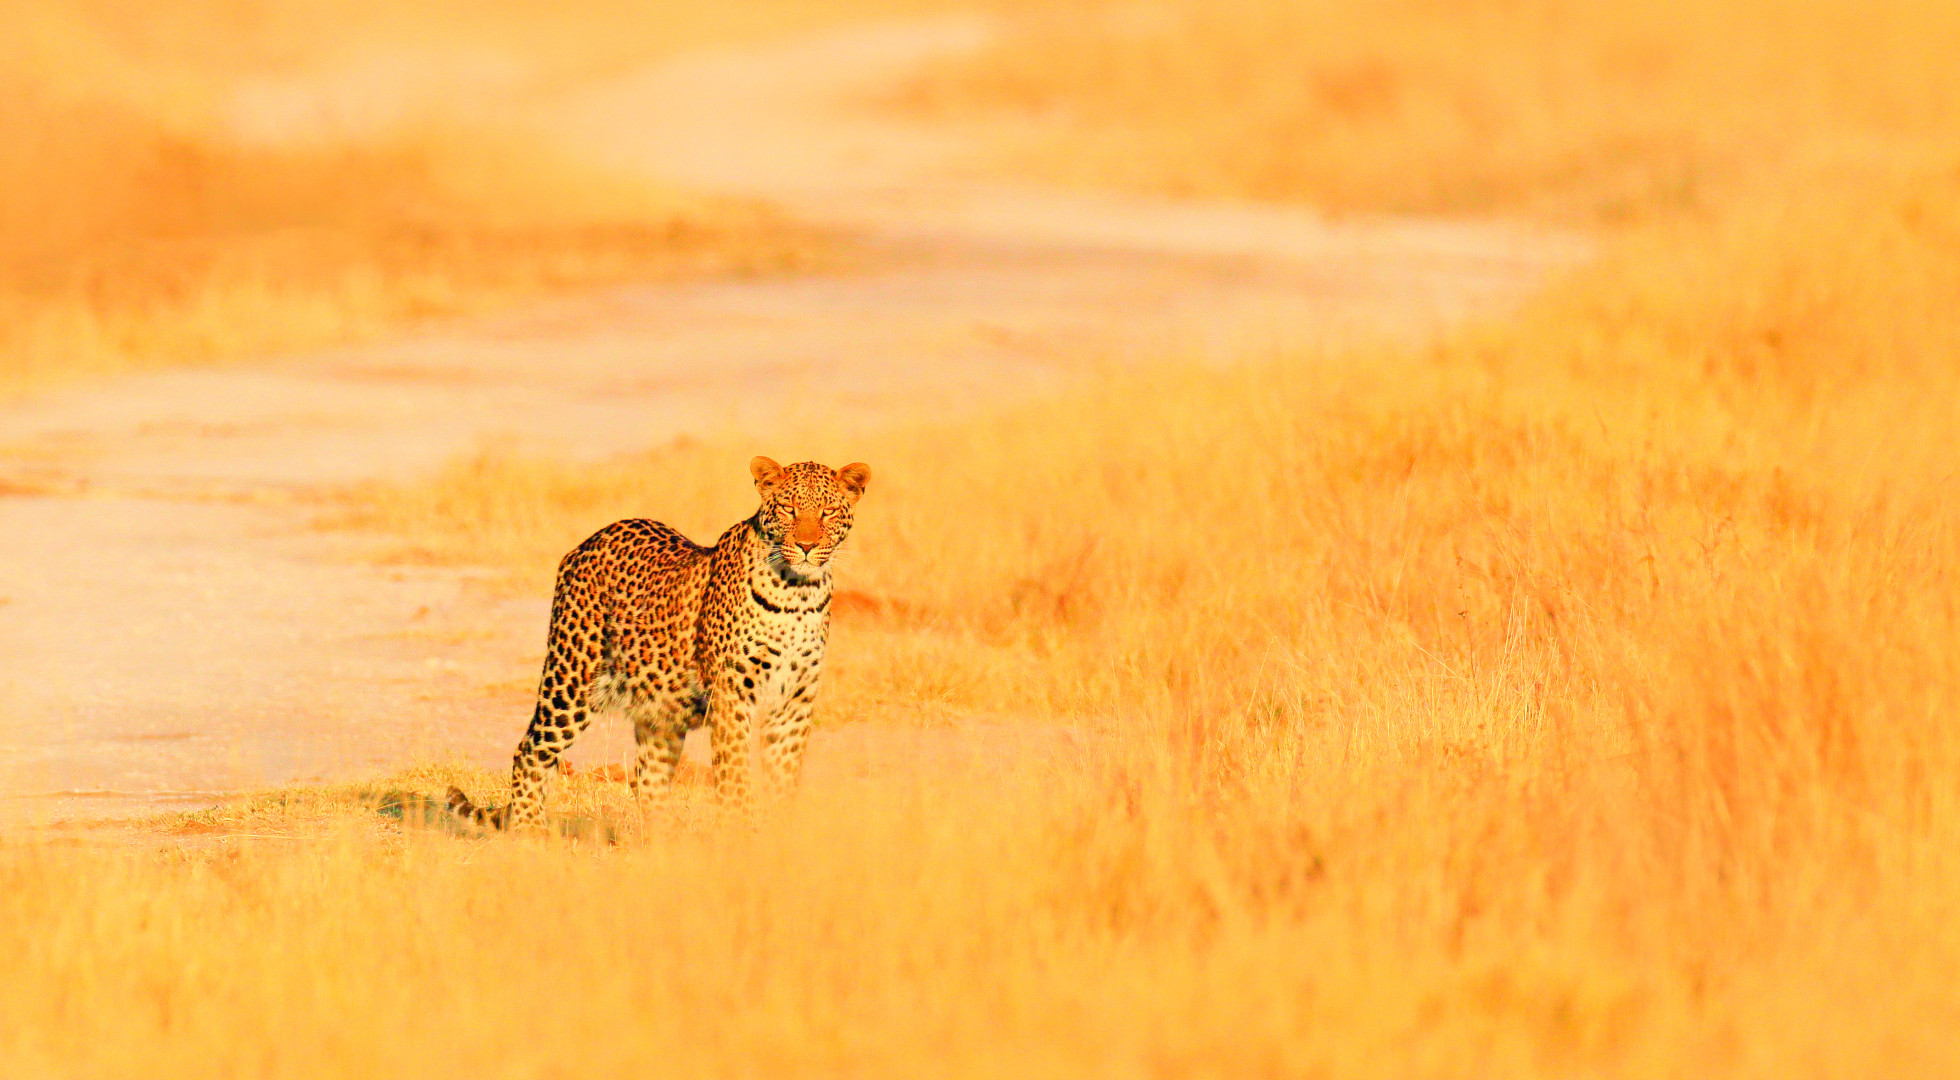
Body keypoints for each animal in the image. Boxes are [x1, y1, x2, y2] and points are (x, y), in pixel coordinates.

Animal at [447, 456, 870, 831]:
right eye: (787, 509)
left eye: (829, 512)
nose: (806, 546)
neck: (798, 593)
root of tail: (587, 542)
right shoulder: (732, 694)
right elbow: (735, 777)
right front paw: (744, 835)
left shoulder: (795, 700)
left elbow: (784, 778)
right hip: (570, 678)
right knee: (531, 750)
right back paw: (530, 833)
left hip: (660, 708)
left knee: (647, 777)